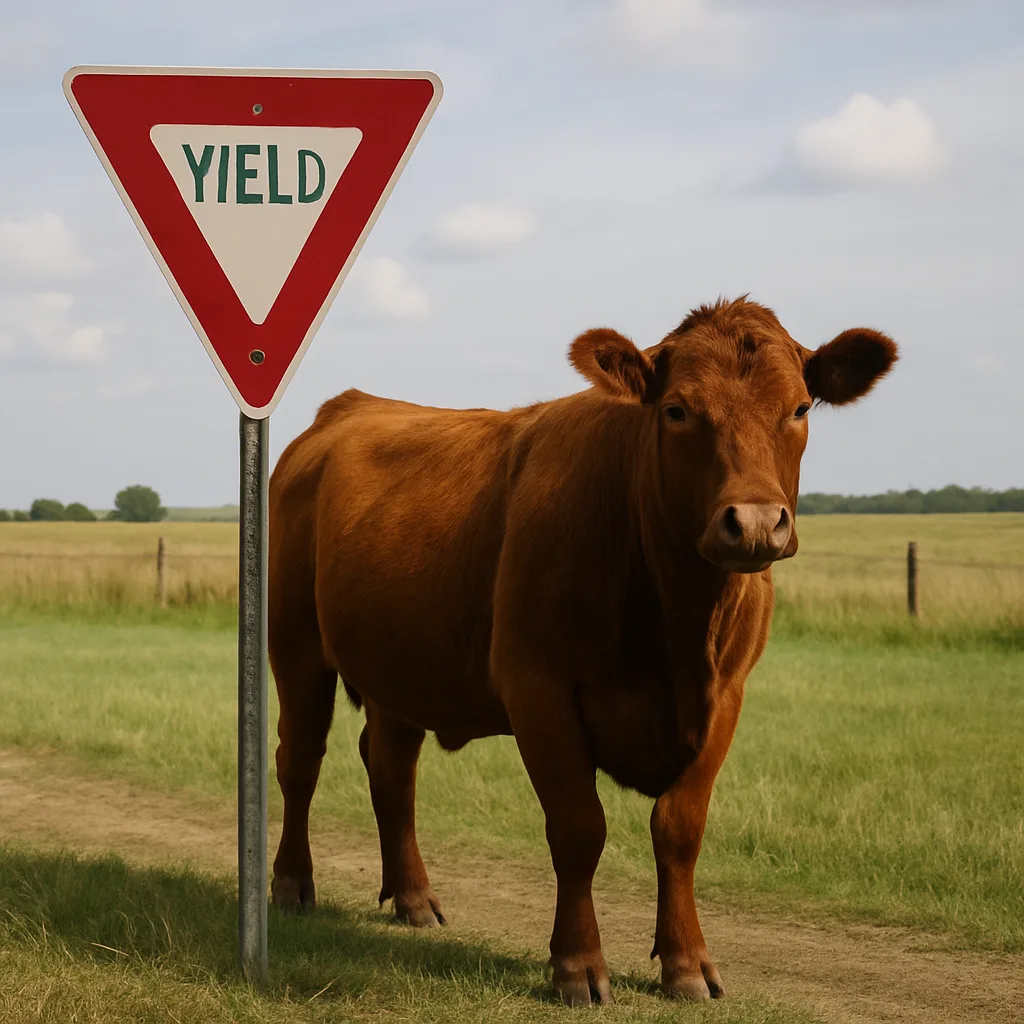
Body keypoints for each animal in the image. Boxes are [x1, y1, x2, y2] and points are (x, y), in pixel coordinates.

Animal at [267, 296, 897, 1004]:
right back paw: (291, 886)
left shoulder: (727, 695)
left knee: (391, 772)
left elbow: (679, 828)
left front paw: (687, 963)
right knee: (300, 762)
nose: (757, 523)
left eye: (799, 408)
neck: (677, 625)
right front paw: (578, 965)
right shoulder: (537, 686)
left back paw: (414, 899)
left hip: (399, 667)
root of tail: (348, 406)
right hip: (295, 646)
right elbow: (578, 827)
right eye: (676, 409)